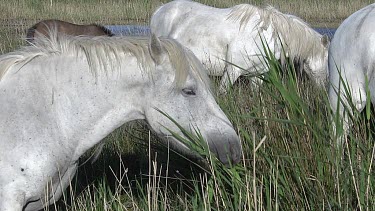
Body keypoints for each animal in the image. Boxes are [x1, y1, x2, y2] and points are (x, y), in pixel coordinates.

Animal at [151, 0, 330, 93]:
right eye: (328, 59)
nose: (324, 89)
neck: (264, 36)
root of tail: (158, 11)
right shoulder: (232, 71)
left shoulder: (258, 75)